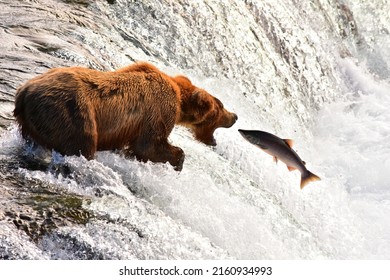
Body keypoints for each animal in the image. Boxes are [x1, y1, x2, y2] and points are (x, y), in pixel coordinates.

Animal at [13, 61, 236, 171]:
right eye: (221, 106)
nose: (234, 116)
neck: (180, 100)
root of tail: (23, 92)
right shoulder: (158, 110)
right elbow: (148, 145)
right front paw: (178, 160)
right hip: (70, 111)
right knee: (82, 143)